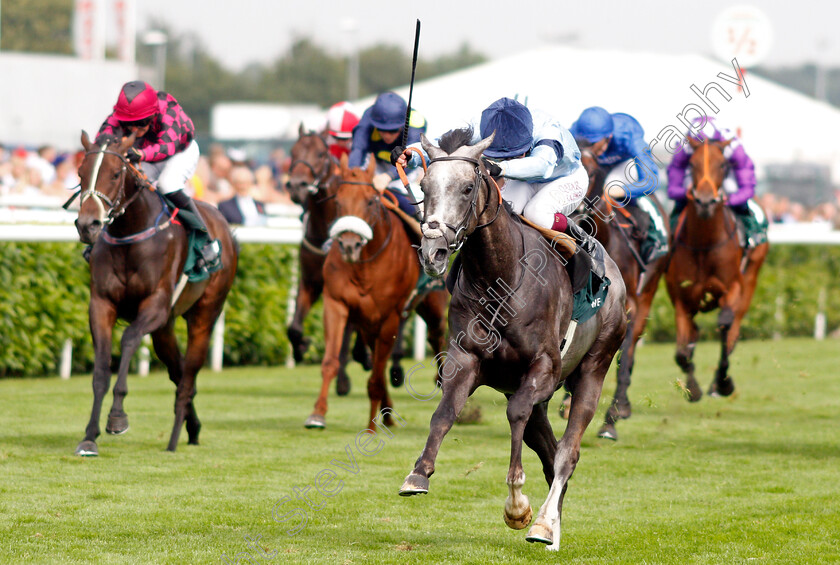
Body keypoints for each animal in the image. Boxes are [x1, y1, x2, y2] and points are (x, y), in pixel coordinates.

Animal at [74, 132, 238, 454]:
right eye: (80, 174)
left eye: (115, 174)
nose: (88, 225)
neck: (129, 234)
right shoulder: (101, 304)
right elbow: (100, 370)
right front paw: (89, 437)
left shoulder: (155, 305)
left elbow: (127, 340)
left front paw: (117, 418)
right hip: (165, 329)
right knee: (178, 371)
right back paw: (192, 426)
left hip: (204, 315)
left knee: (188, 375)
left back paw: (175, 439)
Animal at [306, 154, 450, 428]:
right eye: (337, 201)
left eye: (371, 201)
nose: (349, 245)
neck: (365, 266)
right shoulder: (336, 303)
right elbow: (331, 361)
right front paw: (317, 413)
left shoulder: (390, 316)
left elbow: (376, 374)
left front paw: (371, 425)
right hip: (367, 323)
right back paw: (388, 412)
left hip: (432, 304)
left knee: (436, 335)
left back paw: (441, 382)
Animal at [576, 150, 668, 440]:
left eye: (593, 171)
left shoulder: (628, 308)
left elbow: (622, 355)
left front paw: (611, 419)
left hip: (648, 291)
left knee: (629, 350)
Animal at [668, 137, 772, 400]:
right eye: (691, 164)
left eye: (724, 165)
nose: (705, 201)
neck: (705, 243)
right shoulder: (682, 299)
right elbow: (682, 352)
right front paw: (692, 388)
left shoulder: (732, 287)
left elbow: (725, 325)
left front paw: (723, 382)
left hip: (751, 278)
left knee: (732, 331)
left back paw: (718, 383)